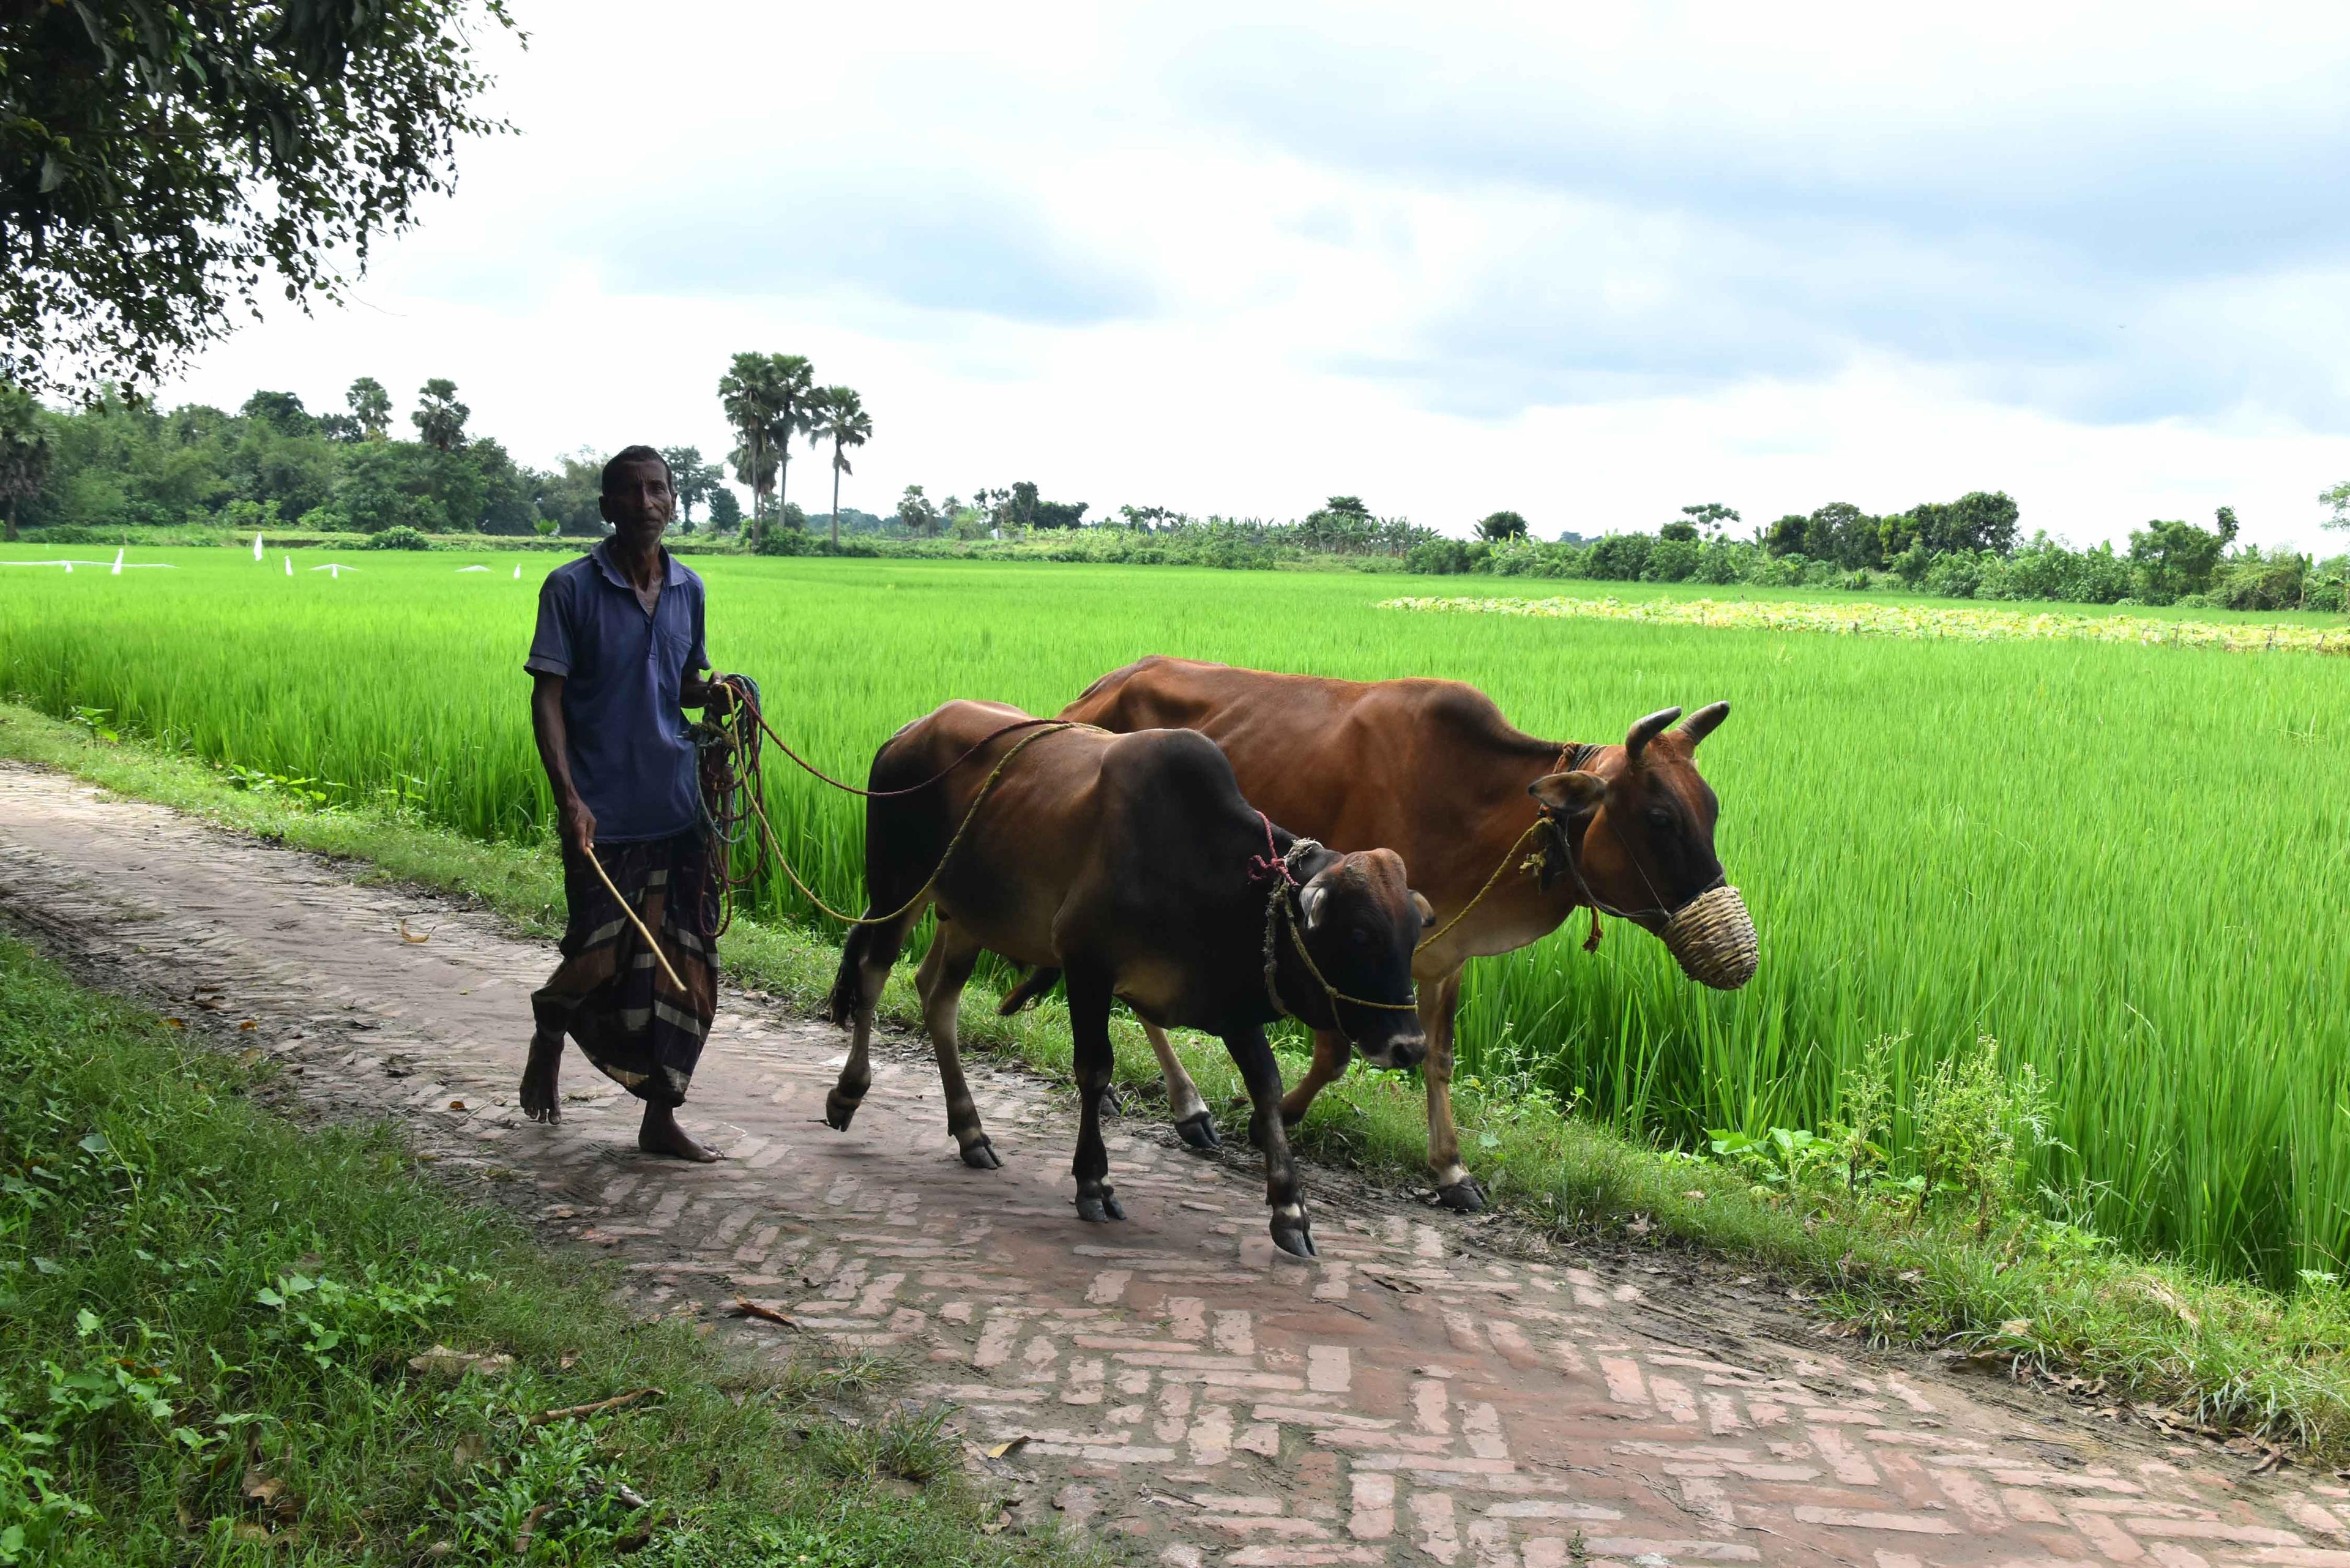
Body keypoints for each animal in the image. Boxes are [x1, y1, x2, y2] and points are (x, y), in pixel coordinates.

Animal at [827, 705, 1428, 1260]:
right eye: (1359, 935)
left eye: (1413, 935)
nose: (1411, 1047)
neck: (1214, 872)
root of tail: (908, 731)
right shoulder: (1085, 963)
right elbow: (1095, 1070)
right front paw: (1094, 1181)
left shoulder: (1230, 1003)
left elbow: (1267, 1087)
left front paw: (1290, 1210)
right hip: (898, 888)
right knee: (873, 975)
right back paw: (849, 1092)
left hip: (966, 918)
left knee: (936, 997)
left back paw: (971, 1131)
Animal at [1058, 658, 1758, 1212]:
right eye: (1660, 816)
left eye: (1714, 808)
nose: (1739, 955)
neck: (1476, 801)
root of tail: (1096, 689)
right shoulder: (1335, 945)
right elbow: (1335, 1055)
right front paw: (1269, 1121)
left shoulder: (1445, 955)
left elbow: (1438, 1058)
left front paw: (1452, 1170)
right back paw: (1183, 1105)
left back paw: (1185, 1107)